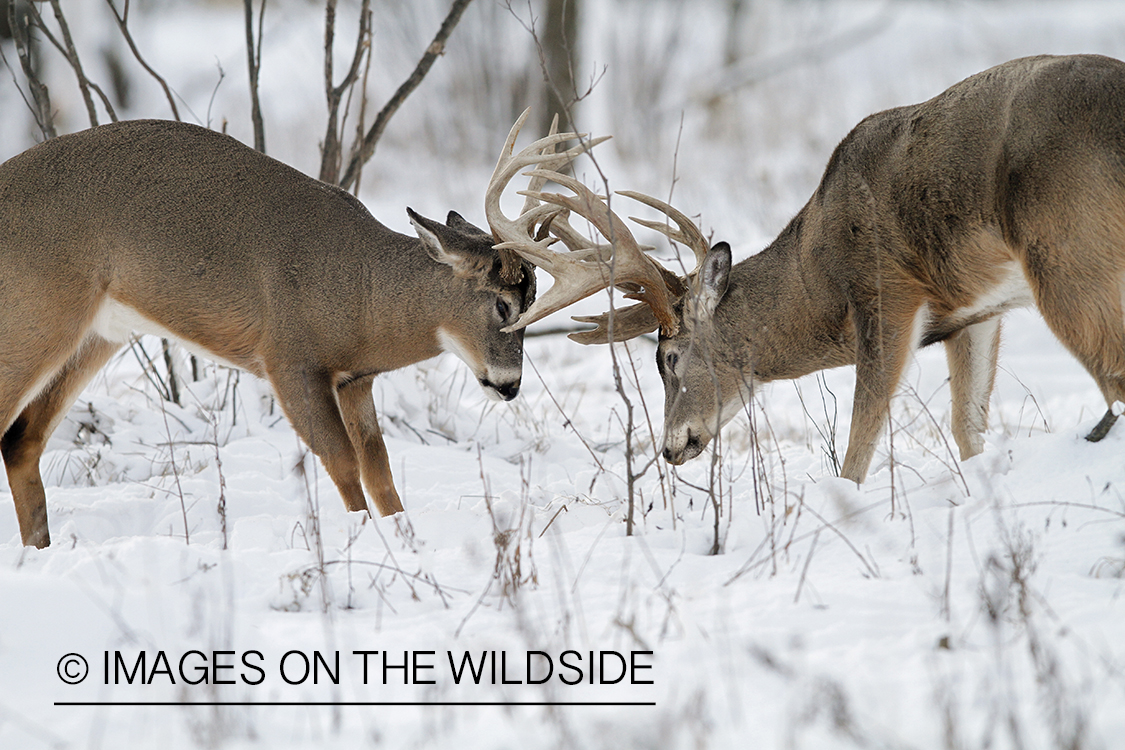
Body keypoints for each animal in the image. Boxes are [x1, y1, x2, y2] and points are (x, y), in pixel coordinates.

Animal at [0, 110, 603, 546]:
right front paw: (366, 543)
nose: (510, 385)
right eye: (503, 305)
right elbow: (343, 465)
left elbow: (379, 469)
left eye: (534, 299)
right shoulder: (288, 358)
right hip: (36, 311)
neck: (360, 297)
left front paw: (405, 539)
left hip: (99, 333)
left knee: (21, 440)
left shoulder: (356, 380)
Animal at [492, 54, 1125, 488]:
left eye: (667, 358)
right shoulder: (974, 311)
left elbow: (859, 442)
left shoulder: (885, 296)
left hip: (1070, 257)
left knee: (1112, 375)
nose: (670, 449)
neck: (815, 275)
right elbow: (969, 431)